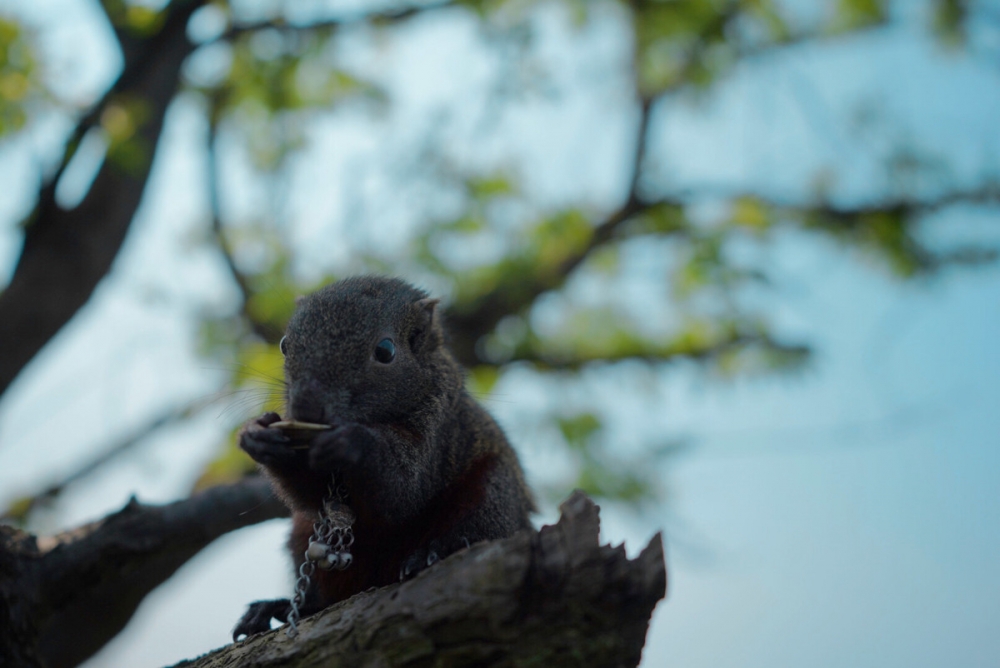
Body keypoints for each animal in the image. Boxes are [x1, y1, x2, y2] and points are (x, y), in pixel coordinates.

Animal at [231, 274, 536, 640]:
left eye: (386, 351)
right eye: (284, 344)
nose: (306, 407)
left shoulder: (437, 431)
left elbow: (405, 490)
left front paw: (353, 441)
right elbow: (311, 496)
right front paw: (258, 435)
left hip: (495, 491)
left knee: (482, 521)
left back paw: (435, 553)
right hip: (302, 535)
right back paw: (281, 608)